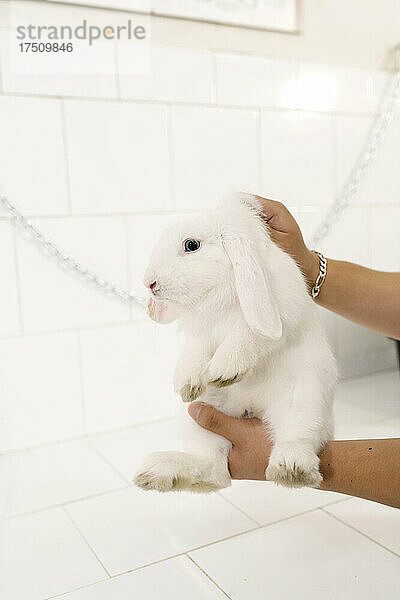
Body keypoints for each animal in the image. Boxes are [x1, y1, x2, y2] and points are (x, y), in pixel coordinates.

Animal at [134, 195, 334, 494]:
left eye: (191, 245)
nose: (150, 283)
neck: (218, 291)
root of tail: (249, 408)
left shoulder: (276, 317)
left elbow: (250, 334)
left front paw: (223, 371)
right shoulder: (202, 335)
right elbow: (196, 351)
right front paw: (187, 385)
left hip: (304, 399)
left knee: (298, 436)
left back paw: (291, 469)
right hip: (198, 419)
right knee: (214, 470)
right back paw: (161, 472)